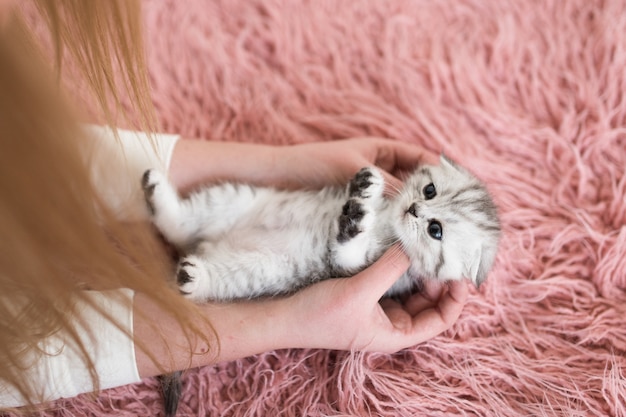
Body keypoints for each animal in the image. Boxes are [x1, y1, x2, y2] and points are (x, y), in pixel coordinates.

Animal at [140, 154, 498, 300]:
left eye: (436, 230)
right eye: (429, 190)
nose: (414, 209)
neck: (386, 222)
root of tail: (210, 245)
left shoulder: (349, 266)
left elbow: (347, 251)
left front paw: (353, 222)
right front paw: (368, 186)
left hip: (260, 270)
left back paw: (193, 277)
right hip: (235, 199)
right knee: (180, 226)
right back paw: (155, 191)